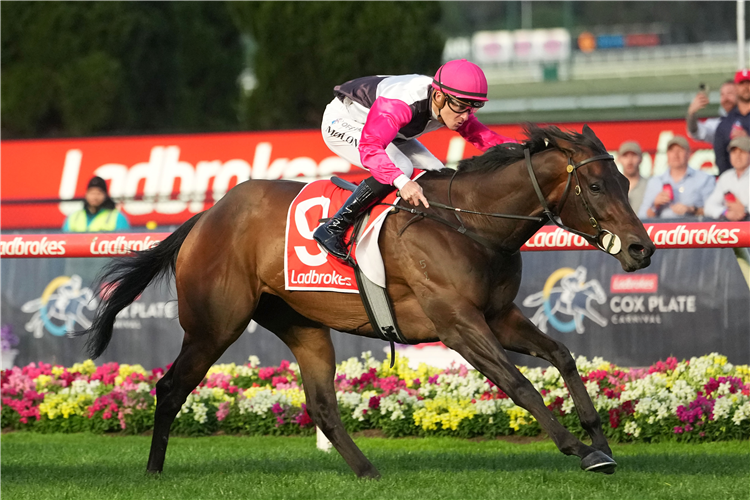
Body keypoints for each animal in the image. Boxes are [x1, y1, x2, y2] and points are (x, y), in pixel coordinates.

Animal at [79, 124, 655, 478]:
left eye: (627, 180)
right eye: (597, 186)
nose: (642, 249)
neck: (470, 223)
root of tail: (206, 215)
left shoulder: (498, 315)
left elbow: (563, 356)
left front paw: (600, 440)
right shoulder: (459, 324)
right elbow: (519, 385)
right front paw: (578, 449)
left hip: (302, 325)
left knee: (321, 405)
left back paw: (367, 470)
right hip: (214, 325)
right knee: (170, 387)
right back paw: (154, 470)